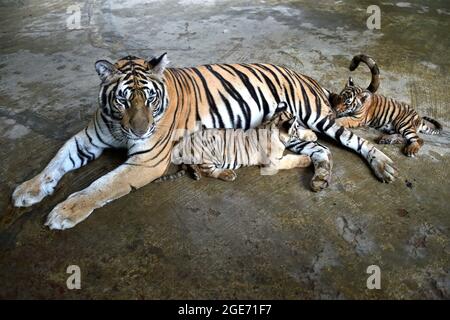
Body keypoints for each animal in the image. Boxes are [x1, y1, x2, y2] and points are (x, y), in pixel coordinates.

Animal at [11, 55, 398, 230]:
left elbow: (100, 186)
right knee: (318, 147)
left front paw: (64, 212)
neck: (120, 128)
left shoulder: (145, 161)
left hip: (317, 116)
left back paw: (384, 166)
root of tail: (308, 77)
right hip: (292, 134)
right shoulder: (86, 139)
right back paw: (319, 178)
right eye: (123, 100)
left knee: (351, 140)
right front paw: (27, 190)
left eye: (149, 99)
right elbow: (55, 162)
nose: (139, 130)